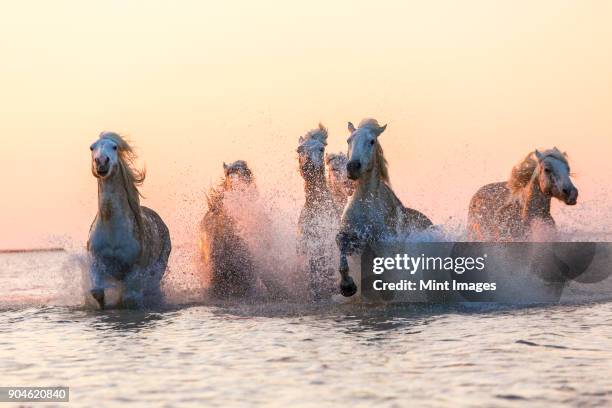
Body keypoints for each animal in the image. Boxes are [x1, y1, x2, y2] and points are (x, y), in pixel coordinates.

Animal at [87, 132, 171, 308]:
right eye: (92, 147)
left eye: (114, 147)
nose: (101, 162)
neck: (112, 230)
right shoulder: (96, 263)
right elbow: (97, 292)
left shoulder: (135, 270)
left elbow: (128, 299)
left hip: (159, 268)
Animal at [338, 118, 432, 296]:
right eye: (348, 140)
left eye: (372, 141)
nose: (353, 166)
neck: (366, 206)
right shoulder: (350, 236)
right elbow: (342, 253)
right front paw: (347, 286)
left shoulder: (384, 244)